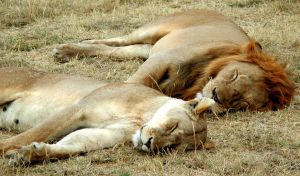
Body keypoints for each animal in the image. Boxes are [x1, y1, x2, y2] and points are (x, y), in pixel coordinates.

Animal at [0, 67, 216, 165]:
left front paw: (29, 154)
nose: (149, 144)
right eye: (173, 125)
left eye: (169, 148)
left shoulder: (103, 134)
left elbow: (72, 146)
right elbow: (34, 133)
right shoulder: (78, 108)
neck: (139, 118)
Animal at [52, 9, 294, 113]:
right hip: (152, 31)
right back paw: (67, 48)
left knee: (118, 50)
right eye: (235, 75)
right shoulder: (161, 59)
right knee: (118, 39)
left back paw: (68, 51)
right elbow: (134, 84)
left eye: (241, 102)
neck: (198, 77)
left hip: (146, 49)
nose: (216, 96)